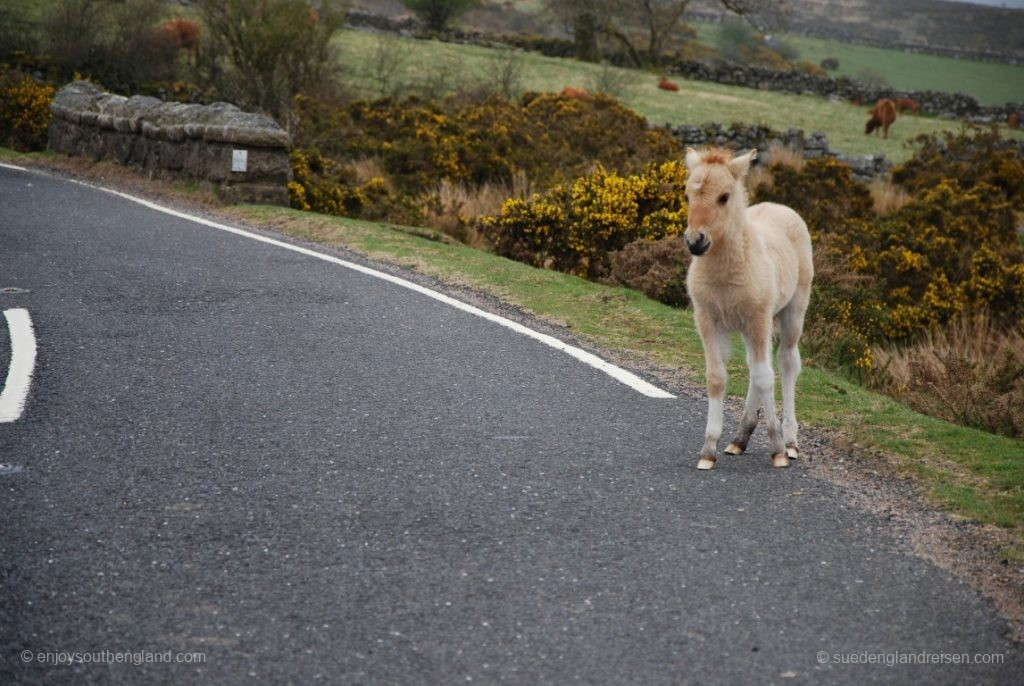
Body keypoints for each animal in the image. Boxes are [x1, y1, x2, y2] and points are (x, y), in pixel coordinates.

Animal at [684, 147, 811, 470]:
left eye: (724, 196)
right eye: (688, 195)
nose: (695, 241)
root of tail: (780, 207)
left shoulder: (759, 318)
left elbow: (767, 377)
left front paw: (778, 450)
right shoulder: (708, 320)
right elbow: (717, 378)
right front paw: (709, 450)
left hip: (791, 312)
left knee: (785, 363)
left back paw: (790, 442)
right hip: (746, 325)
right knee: (755, 366)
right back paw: (740, 438)